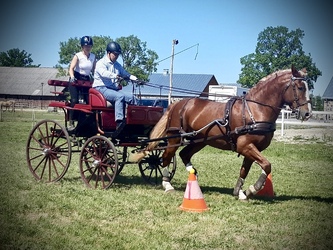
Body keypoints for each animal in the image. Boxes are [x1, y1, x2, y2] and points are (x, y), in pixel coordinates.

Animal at [129, 65, 312, 200]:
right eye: (300, 87)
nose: (307, 113)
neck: (255, 110)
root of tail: (177, 103)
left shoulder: (250, 148)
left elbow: (245, 170)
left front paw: (240, 192)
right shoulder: (245, 146)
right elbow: (267, 165)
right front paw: (253, 189)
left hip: (200, 140)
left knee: (183, 155)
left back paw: (193, 176)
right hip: (175, 138)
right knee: (166, 157)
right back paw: (167, 184)